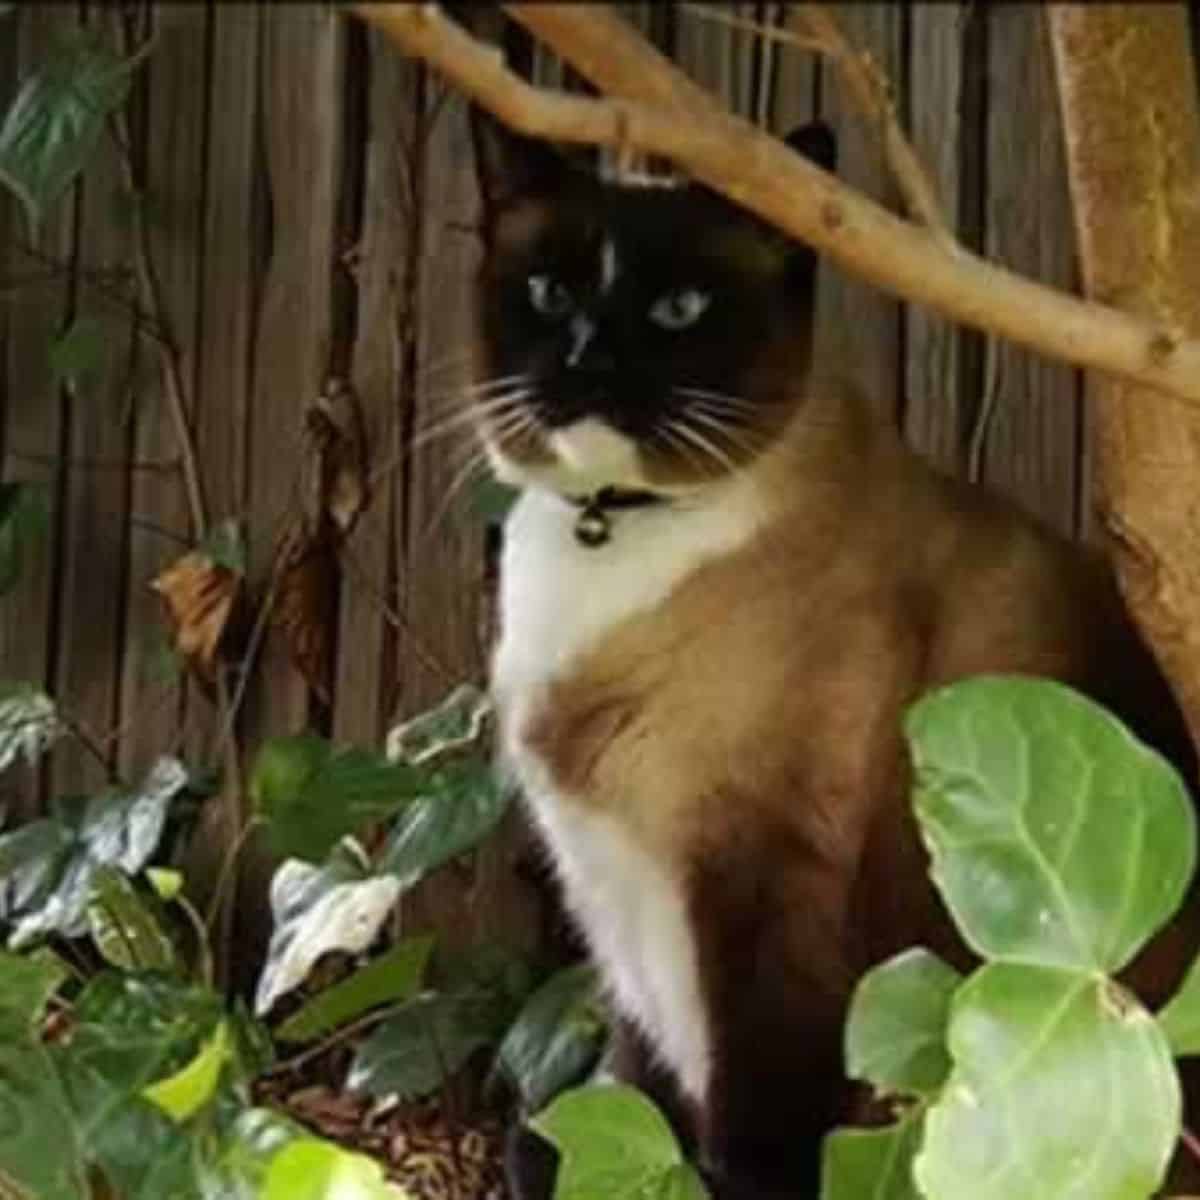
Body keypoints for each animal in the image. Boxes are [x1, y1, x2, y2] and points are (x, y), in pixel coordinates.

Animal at [460, 108, 1200, 1195]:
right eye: (550, 294)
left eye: (679, 310)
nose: (589, 363)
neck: (612, 530)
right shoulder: (612, 895)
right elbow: (629, 1094)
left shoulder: (761, 882)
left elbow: (754, 1115)